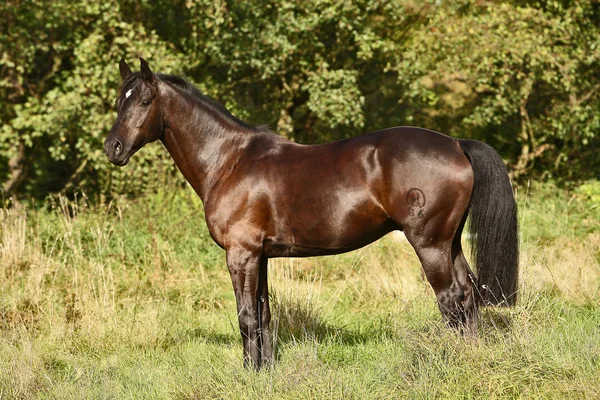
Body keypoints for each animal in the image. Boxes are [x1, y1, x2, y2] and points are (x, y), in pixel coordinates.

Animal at [103, 57, 516, 370]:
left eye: (144, 101)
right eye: (118, 101)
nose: (113, 147)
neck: (229, 160)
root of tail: (456, 144)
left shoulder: (241, 255)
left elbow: (246, 316)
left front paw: (248, 374)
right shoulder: (260, 256)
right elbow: (264, 315)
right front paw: (265, 372)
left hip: (429, 244)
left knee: (450, 300)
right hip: (451, 242)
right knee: (468, 295)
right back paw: (472, 359)